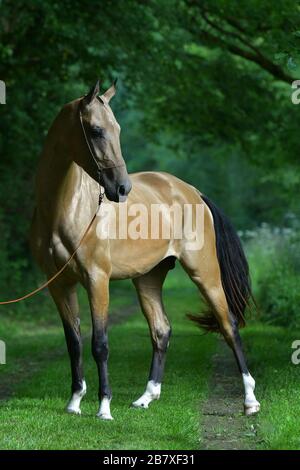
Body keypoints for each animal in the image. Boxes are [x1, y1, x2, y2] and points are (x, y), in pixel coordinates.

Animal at [29, 80, 260, 418]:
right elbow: (74, 342)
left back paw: (250, 399)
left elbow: (100, 343)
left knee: (228, 325)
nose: (122, 188)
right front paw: (74, 402)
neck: (66, 209)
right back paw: (146, 397)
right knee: (161, 330)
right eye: (96, 130)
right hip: (148, 278)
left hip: (205, 274)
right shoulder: (59, 284)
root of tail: (192, 192)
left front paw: (104, 407)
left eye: (118, 129)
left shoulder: (97, 280)